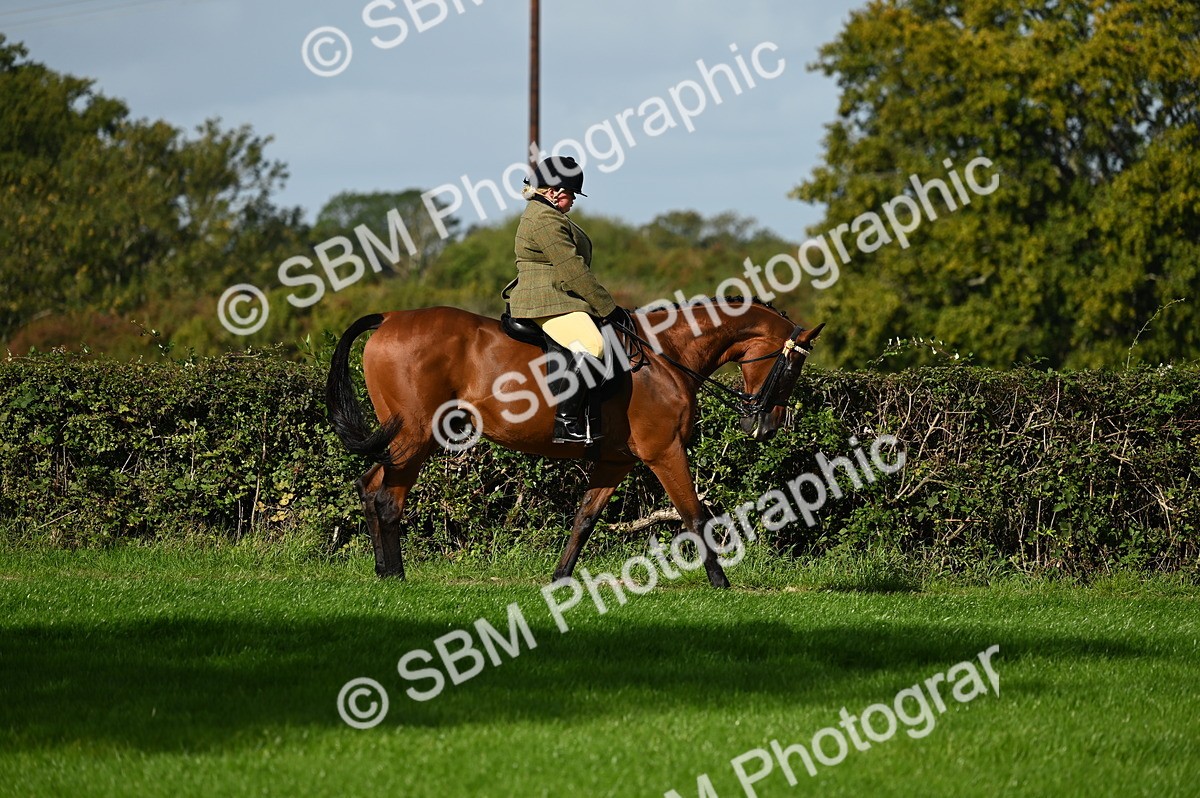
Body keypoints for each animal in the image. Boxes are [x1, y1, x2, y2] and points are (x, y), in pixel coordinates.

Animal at [325, 298, 823, 588]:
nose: (766, 426)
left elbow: (584, 518)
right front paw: (721, 583)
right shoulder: (664, 452)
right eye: (793, 369)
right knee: (387, 498)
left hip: (406, 441)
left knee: (369, 486)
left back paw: (383, 571)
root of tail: (389, 318)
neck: (666, 356)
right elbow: (694, 515)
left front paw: (560, 578)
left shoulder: (616, 462)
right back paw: (395, 575)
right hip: (416, 436)